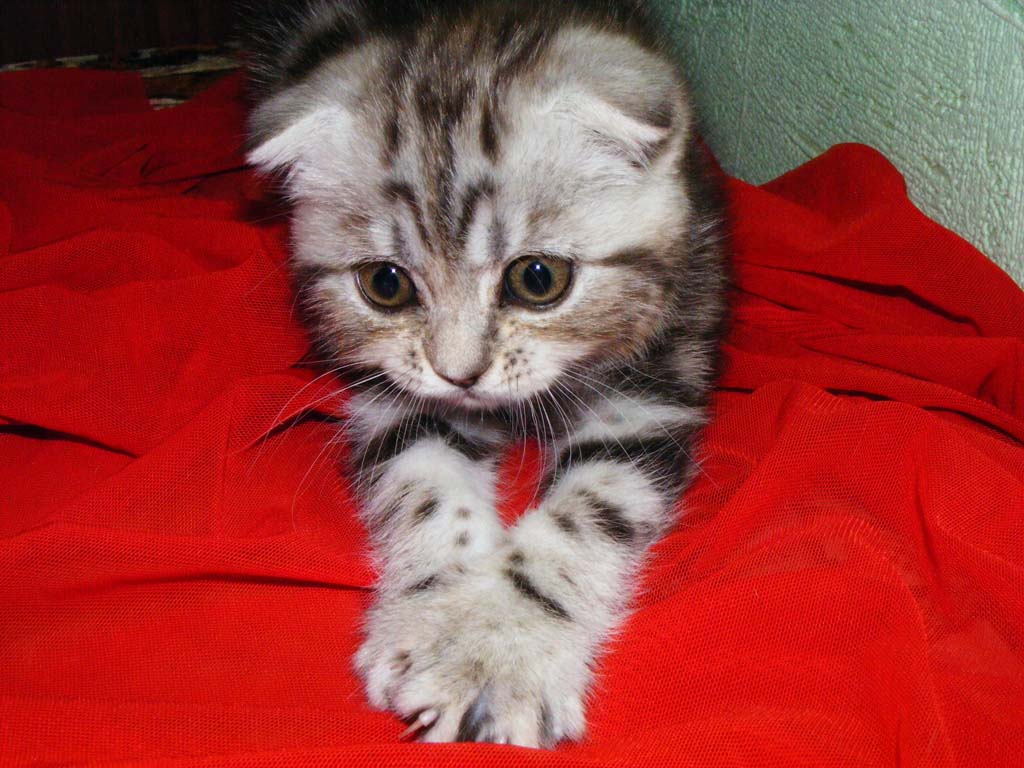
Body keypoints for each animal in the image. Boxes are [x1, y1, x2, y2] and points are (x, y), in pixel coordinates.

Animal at [242, 0, 728, 748]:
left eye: (538, 278)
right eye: (385, 285)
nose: (460, 373)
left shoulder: (658, 371)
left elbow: (594, 503)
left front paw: (503, 645)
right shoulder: (397, 394)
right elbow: (424, 480)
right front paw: (440, 613)